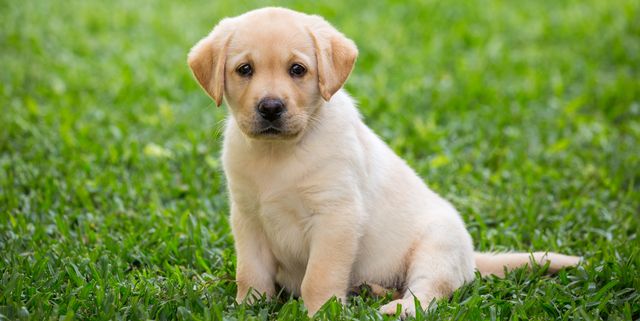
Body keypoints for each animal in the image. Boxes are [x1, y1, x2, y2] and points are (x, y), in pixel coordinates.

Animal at [188, 6, 584, 316]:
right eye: (244, 69)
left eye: (297, 69)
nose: (270, 107)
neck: (279, 154)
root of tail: (472, 259)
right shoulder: (248, 217)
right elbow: (251, 274)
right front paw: (247, 307)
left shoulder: (336, 216)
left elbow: (319, 277)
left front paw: (322, 312)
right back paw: (371, 290)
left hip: (436, 247)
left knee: (429, 292)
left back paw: (396, 307)